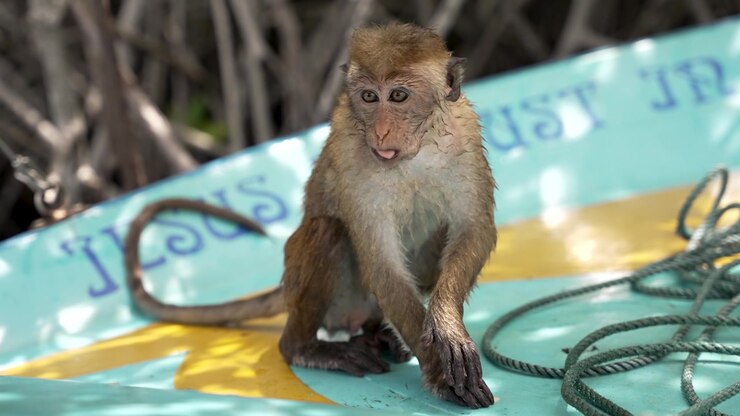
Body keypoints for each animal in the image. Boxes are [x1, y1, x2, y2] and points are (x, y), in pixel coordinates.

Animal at [125, 23, 496, 409]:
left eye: (398, 96)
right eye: (368, 97)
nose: (380, 131)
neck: (416, 150)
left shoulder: (465, 134)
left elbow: (473, 230)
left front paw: (446, 323)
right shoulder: (351, 155)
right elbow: (382, 264)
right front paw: (439, 373)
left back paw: (378, 333)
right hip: (336, 301)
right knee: (327, 231)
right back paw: (307, 347)